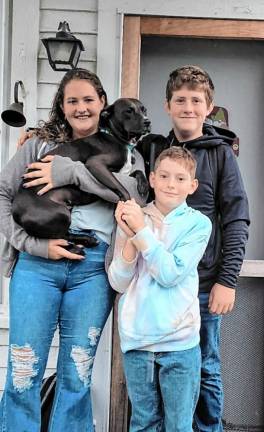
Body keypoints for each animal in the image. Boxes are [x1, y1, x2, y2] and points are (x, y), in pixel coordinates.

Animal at [11, 97, 151, 250]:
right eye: (128, 111)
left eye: (144, 110)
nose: (147, 122)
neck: (116, 138)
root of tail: (15, 212)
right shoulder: (96, 164)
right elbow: (124, 191)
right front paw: (126, 208)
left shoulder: (123, 173)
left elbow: (137, 171)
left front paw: (144, 186)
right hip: (59, 214)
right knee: (62, 237)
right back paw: (87, 240)